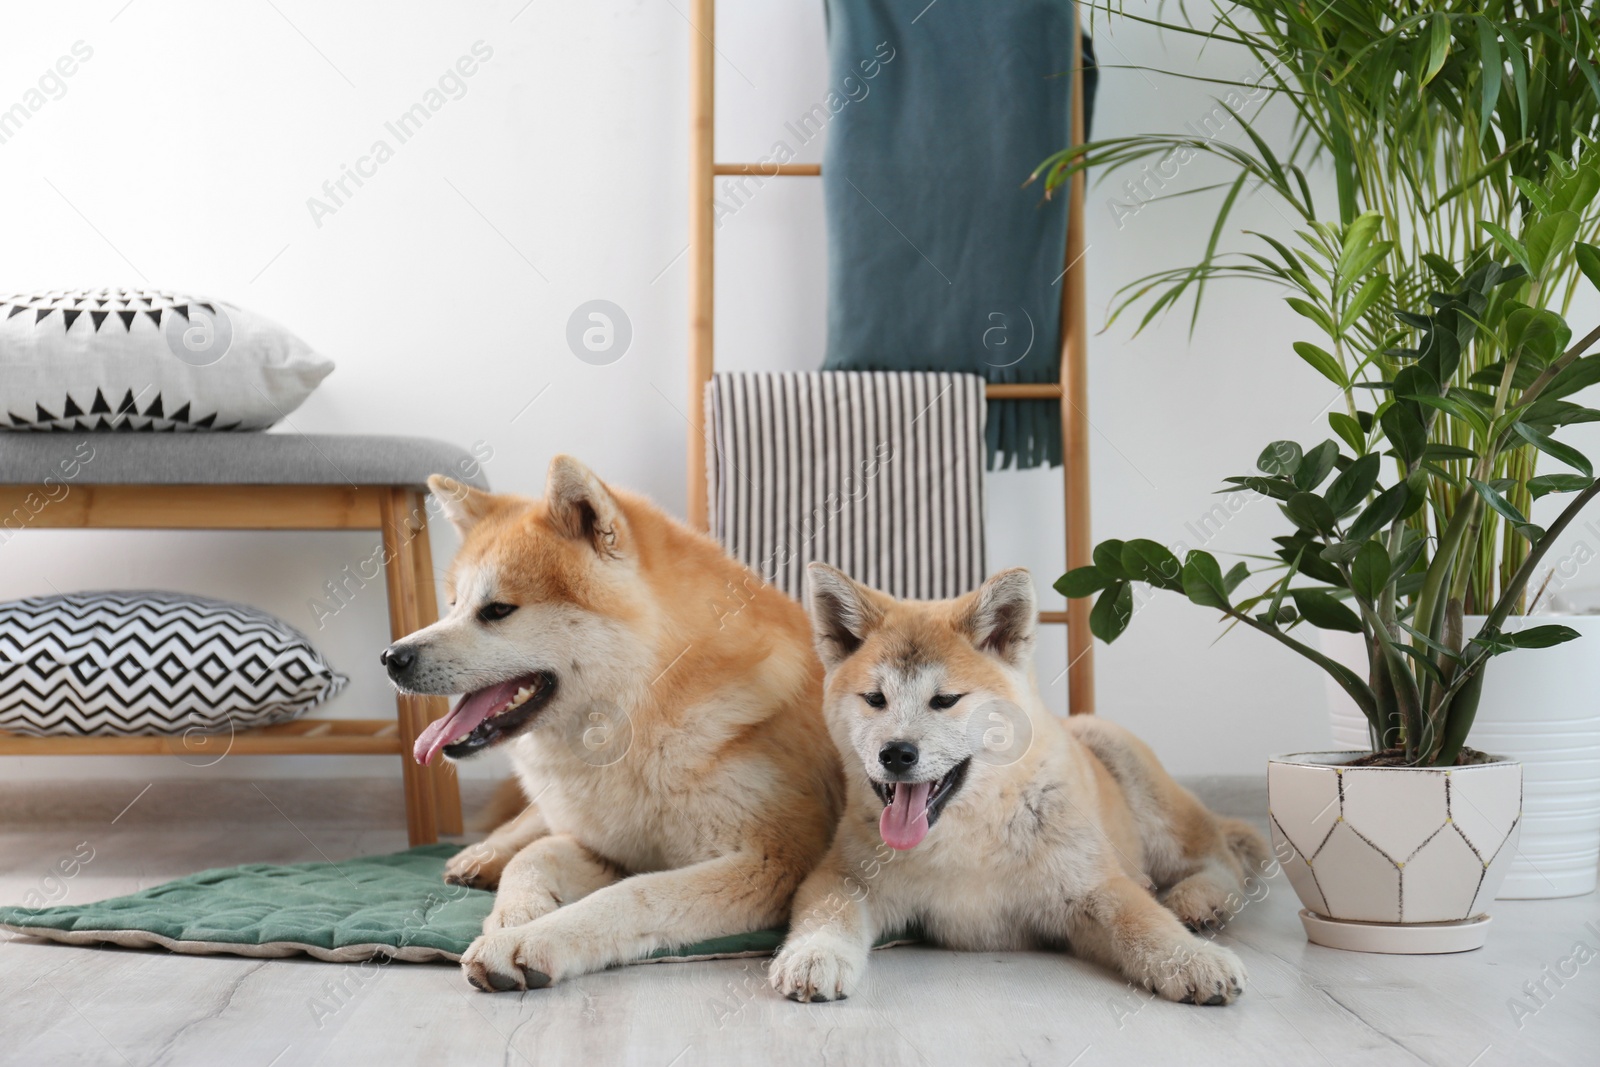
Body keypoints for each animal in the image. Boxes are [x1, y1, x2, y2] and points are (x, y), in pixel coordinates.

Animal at [382, 457, 844, 991]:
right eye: (453, 605)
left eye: (497, 610)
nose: (392, 657)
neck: (644, 715)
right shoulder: (605, 846)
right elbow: (533, 856)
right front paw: (515, 914)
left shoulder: (773, 861)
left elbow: (630, 895)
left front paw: (530, 940)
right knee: (532, 822)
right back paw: (478, 856)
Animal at [768, 566, 1267, 1011]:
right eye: (875, 699)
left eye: (945, 700)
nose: (896, 754)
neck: (971, 831)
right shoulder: (845, 875)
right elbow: (829, 911)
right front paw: (814, 953)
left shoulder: (1089, 887)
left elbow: (1143, 921)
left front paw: (1192, 959)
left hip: (1131, 772)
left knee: (1219, 857)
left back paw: (1198, 898)